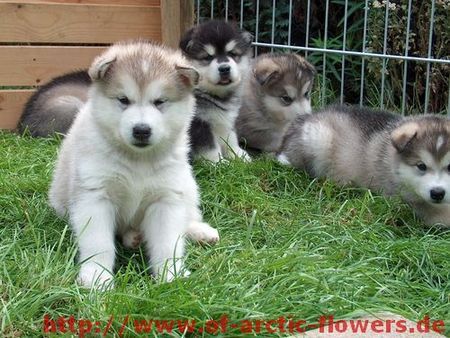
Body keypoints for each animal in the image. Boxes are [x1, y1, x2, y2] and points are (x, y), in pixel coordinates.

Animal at [49, 39, 218, 288]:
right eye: (123, 100)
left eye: (159, 102)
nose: (141, 130)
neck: (137, 160)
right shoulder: (94, 197)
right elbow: (98, 243)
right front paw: (97, 276)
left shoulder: (166, 199)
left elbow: (168, 242)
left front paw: (171, 274)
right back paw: (133, 237)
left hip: (187, 186)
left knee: (188, 217)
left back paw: (201, 232)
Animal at [179, 20, 253, 162]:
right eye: (208, 57)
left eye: (232, 54)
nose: (224, 69)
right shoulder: (198, 123)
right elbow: (209, 147)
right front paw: (219, 162)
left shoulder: (228, 119)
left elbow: (230, 138)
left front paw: (239, 155)